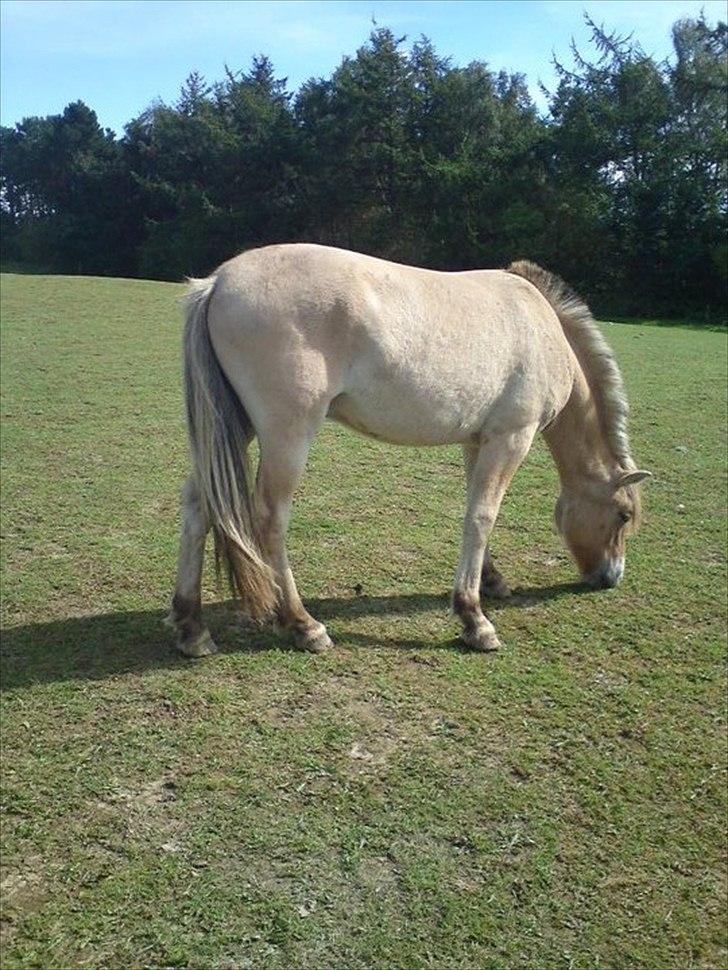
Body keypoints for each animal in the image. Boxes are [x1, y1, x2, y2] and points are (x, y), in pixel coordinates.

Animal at [168, 242, 652, 656]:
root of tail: (219, 281)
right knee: (269, 518)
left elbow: (478, 514)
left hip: (234, 426)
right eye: (623, 515)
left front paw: (490, 582)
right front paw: (474, 620)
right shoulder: (512, 438)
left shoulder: (480, 442)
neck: (541, 328)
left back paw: (192, 627)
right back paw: (303, 625)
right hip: (287, 435)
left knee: (198, 504)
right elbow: (483, 517)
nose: (611, 577)